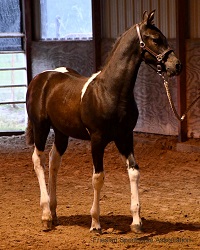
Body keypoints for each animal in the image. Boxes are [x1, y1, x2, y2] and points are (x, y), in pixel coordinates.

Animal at [25, 10, 181, 232]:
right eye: (155, 39)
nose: (176, 65)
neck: (110, 91)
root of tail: (41, 78)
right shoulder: (97, 141)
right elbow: (98, 178)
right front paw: (96, 223)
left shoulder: (125, 138)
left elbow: (134, 172)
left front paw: (136, 221)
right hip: (41, 127)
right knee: (38, 160)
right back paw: (46, 216)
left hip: (61, 132)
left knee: (54, 162)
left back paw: (54, 214)